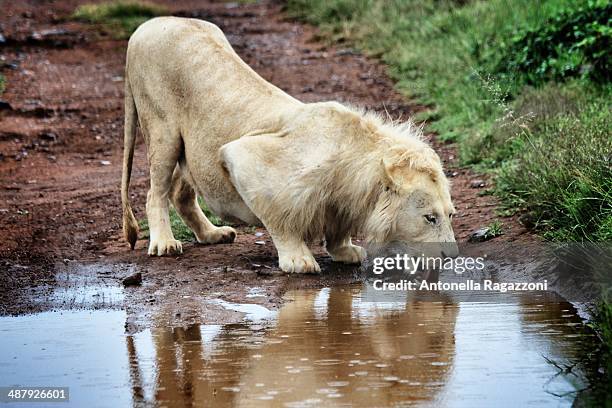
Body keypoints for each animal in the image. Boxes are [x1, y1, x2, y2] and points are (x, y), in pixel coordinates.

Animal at [120, 18, 460, 274]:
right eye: (430, 218)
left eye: (451, 215)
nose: (453, 258)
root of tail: (147, 25)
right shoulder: (243, 157)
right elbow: (280, 218)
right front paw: (298, 260)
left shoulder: (344, 201)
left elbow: (338, 228)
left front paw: (345, 251)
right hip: (162, 129)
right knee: (155, 192)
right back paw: (164, 243)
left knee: (180, 191)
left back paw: (212, 234)